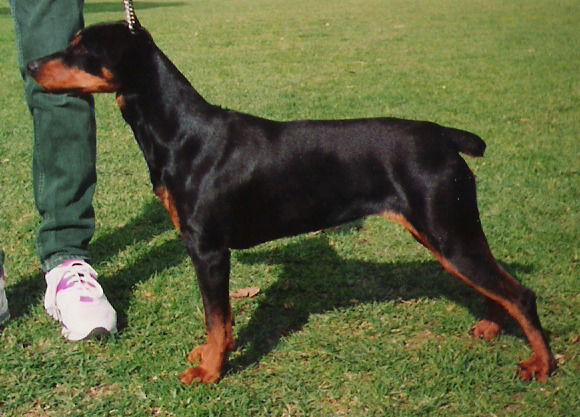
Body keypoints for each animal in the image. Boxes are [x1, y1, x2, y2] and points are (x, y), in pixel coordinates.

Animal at [28, 21, 556, 382]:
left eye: (82, 49)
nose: (29, 66)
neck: (181, 133)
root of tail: (445, 137)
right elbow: (215, 319)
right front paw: (207, 358)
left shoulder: (209, 250)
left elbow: (218, 318)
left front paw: (210, 370)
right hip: (447, 235)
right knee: (497, 287)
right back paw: (490, 327)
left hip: (448, 231)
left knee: (519, 294)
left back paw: (542, 364)